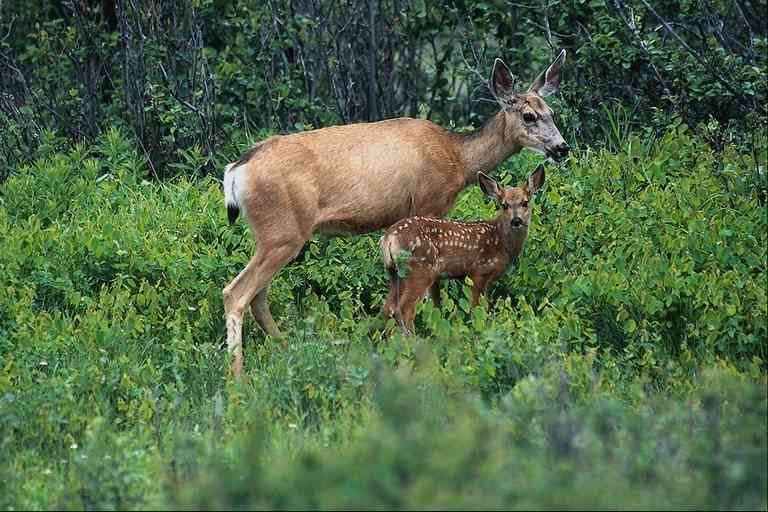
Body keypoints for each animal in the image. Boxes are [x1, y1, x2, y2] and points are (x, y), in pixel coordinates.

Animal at [222, 50, 568, 378]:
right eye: (529, 115)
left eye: (552, 112)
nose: (562, 147)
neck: (458, 159)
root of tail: (236, 171)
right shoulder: (429, 204)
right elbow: (428, 293)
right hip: (283, 232)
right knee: (236, 293)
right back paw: (238, 377)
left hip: (272, 235)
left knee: (258, 296)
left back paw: (288, 351)